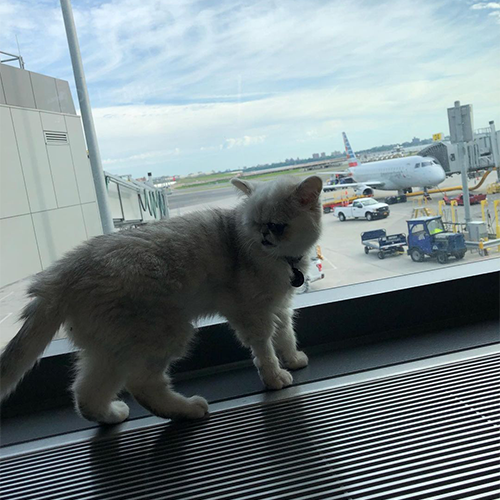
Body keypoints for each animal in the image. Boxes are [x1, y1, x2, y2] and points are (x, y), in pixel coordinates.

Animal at [0, 175, 322, 422]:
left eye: (277, 226)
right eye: (255, 224)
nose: (263, 236)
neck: (283, 261)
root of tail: (60, 275)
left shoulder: (280, 307)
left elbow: (286, 336)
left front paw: (293, 359)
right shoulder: (253, 314)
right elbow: (265, 350)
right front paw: (275, 377)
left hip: (109, 350)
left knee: (86, 394)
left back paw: (112, 416)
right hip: (166, 333)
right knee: (142, 385)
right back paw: (188, 409)